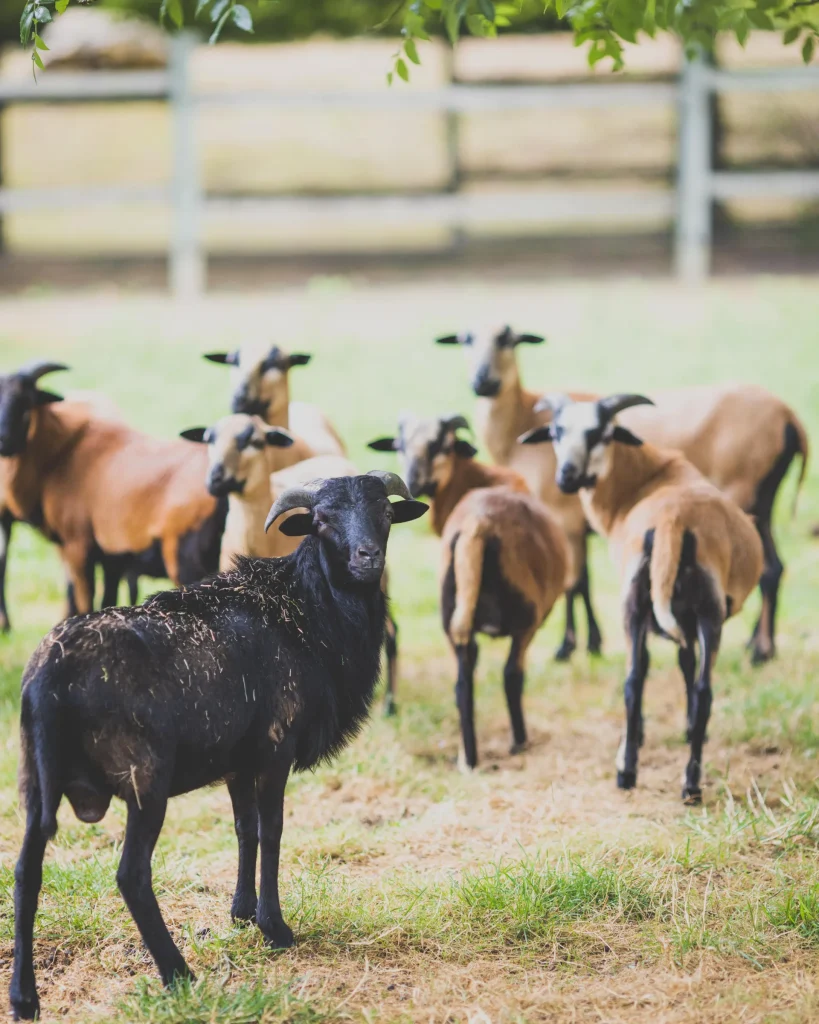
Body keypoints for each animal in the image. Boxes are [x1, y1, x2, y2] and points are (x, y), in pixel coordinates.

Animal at [9, 468, 425, 1015]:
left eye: (385, 512)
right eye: (321, 520)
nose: (367, 557)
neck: (310, 611)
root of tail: (49, 678)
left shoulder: (236, 761)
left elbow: (244, 829)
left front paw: (241, 912)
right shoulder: (274, 747)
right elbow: (272, 830)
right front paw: (274, 927)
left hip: (37, 781)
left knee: (25, 871)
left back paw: (23, 998)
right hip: (145, 778)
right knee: (131, 876)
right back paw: (178, 974)